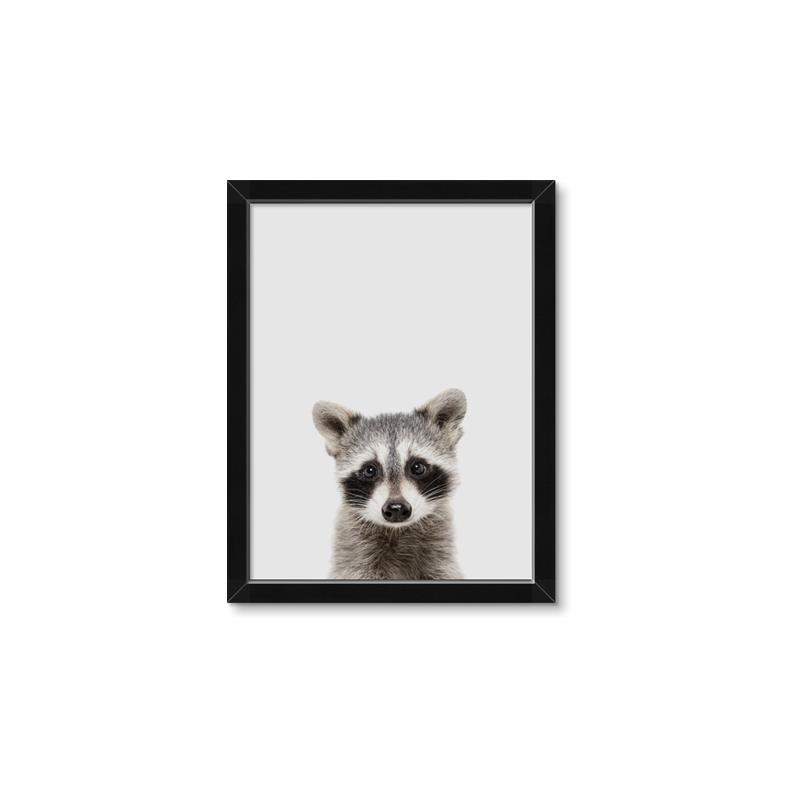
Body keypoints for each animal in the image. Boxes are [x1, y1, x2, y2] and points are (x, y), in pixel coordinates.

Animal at [312, 389, 467, 580]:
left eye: (417, 467)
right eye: (370, 470)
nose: (396, 508)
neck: (397, 530)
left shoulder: (439, 555)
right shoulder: (354, 555)